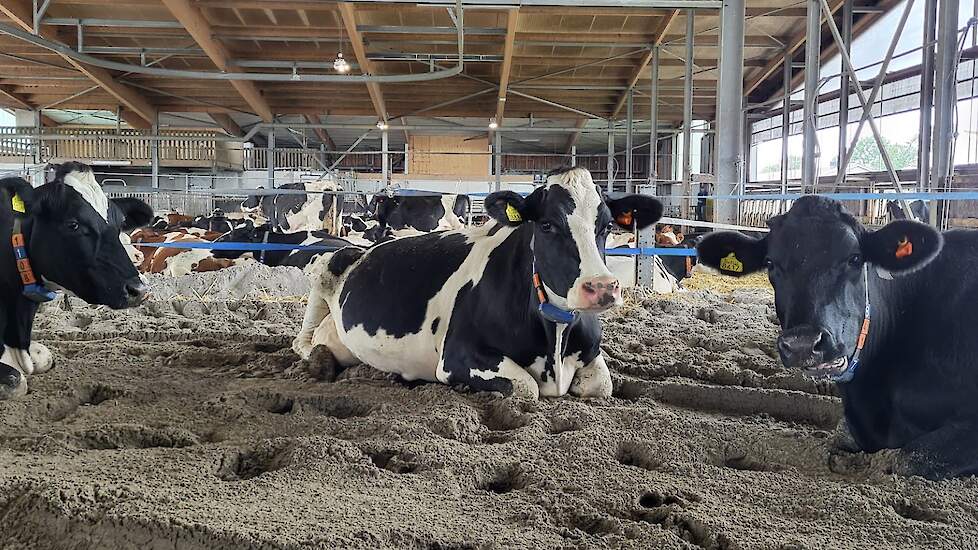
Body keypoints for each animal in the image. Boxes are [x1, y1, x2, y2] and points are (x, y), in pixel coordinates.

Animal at [293, 167, 662, 399]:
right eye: (546, 225)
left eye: (607, 225)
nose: (602, 287)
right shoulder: (458, 355)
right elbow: (525, 388)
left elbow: (602, 386)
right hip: (327, 266)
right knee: (303, 341)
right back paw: (322, 359)